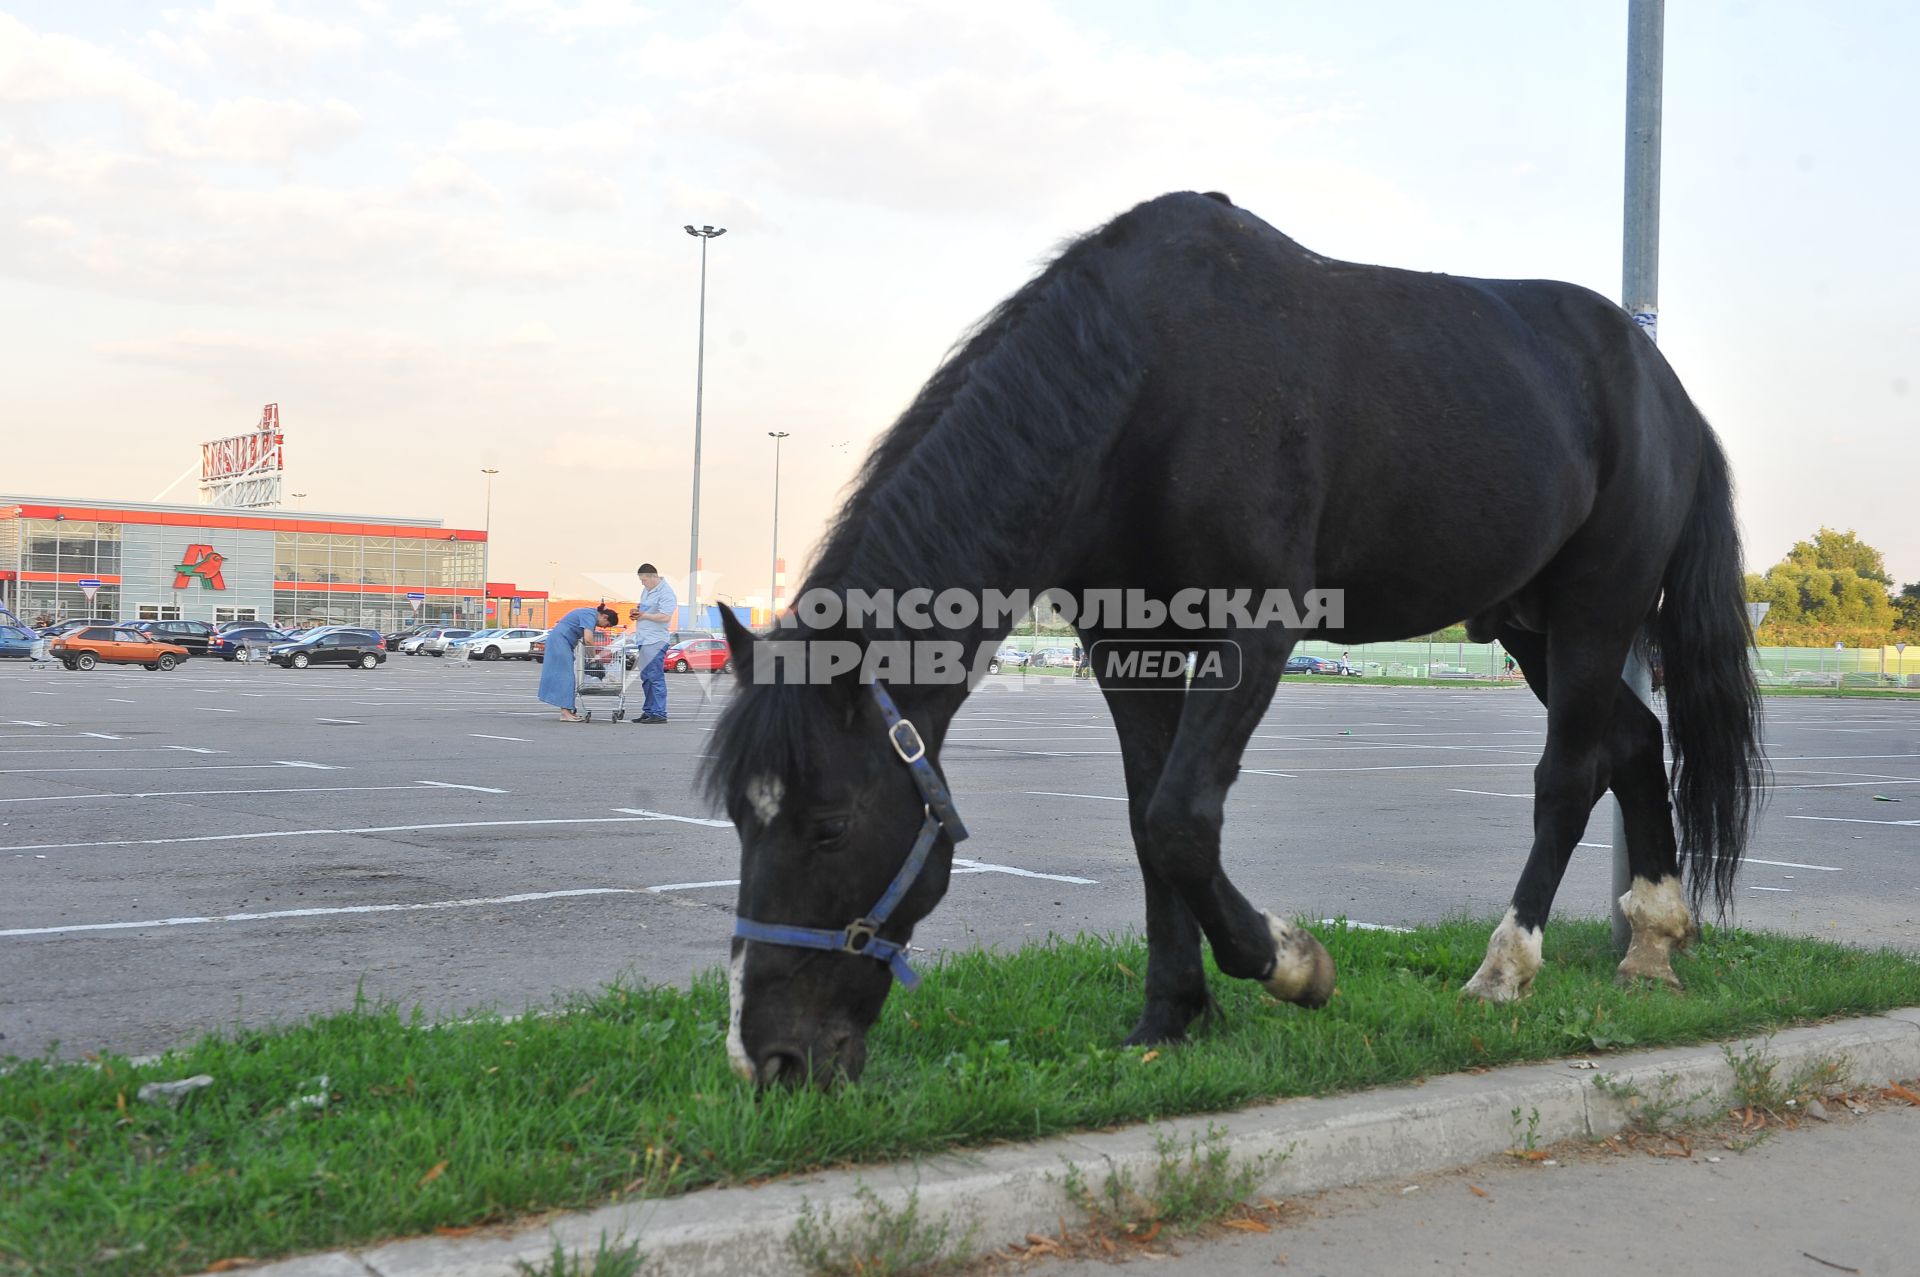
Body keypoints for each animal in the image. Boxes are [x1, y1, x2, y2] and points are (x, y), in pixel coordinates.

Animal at [710, 189, 1766, 1083]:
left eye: (828, 824)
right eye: (738, 819)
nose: (768, 1060)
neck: (1148, 379)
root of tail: (1668, 391)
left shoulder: (1255, 627)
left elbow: (1182, 818)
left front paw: (1290, 961)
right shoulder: (1122, 643)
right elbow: (1147, 821)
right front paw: (1172, 1013)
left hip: (1595, 608)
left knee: (1568, 777)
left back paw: (1505, 967)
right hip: (1527, 625)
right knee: (1634, 741)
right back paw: (1653, 944)